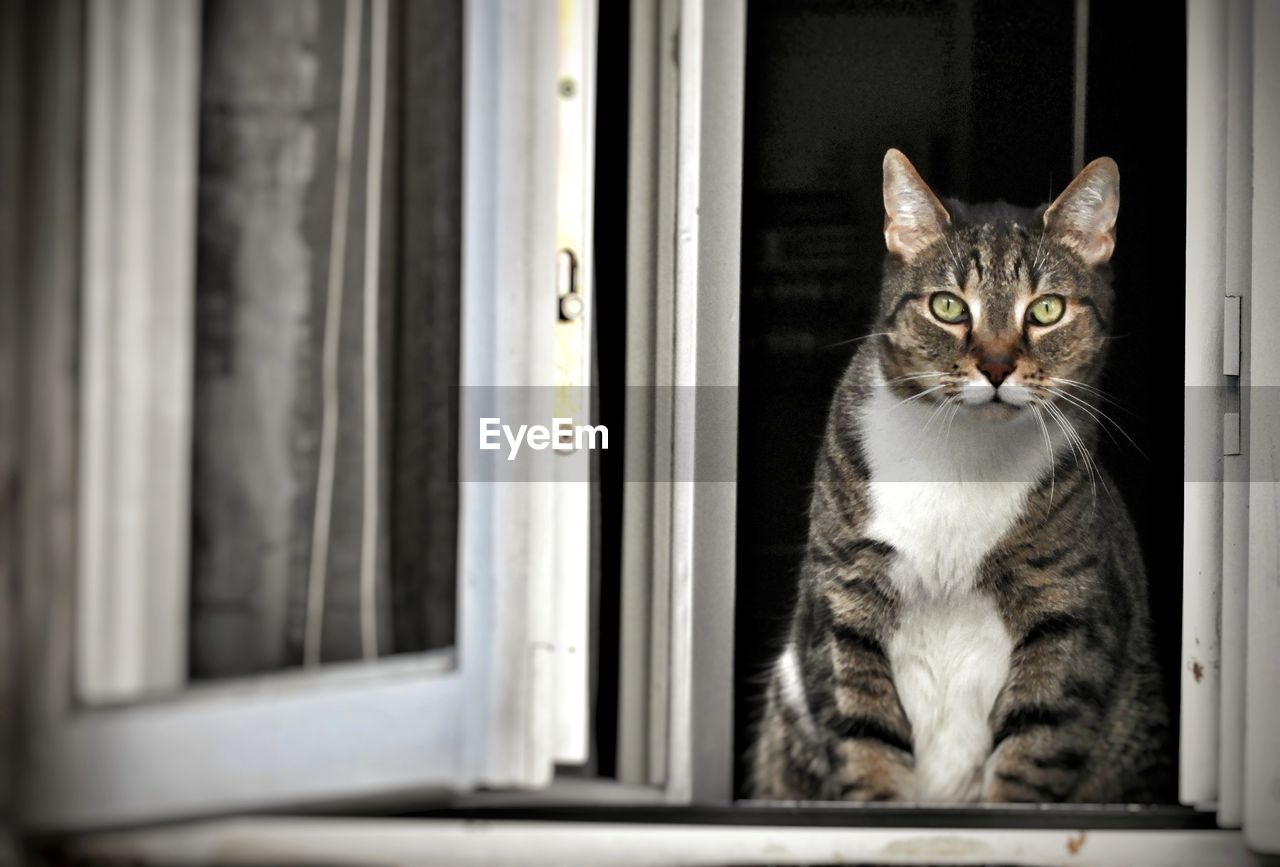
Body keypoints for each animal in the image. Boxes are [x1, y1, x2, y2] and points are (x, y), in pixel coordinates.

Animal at [747, 150, 1172, 804]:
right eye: (948, 306)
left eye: (1046, 310)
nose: (996, 366)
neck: (963, 459)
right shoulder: (845, 597)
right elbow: (864, 741)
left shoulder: (1067, 613)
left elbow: (1031, 749)